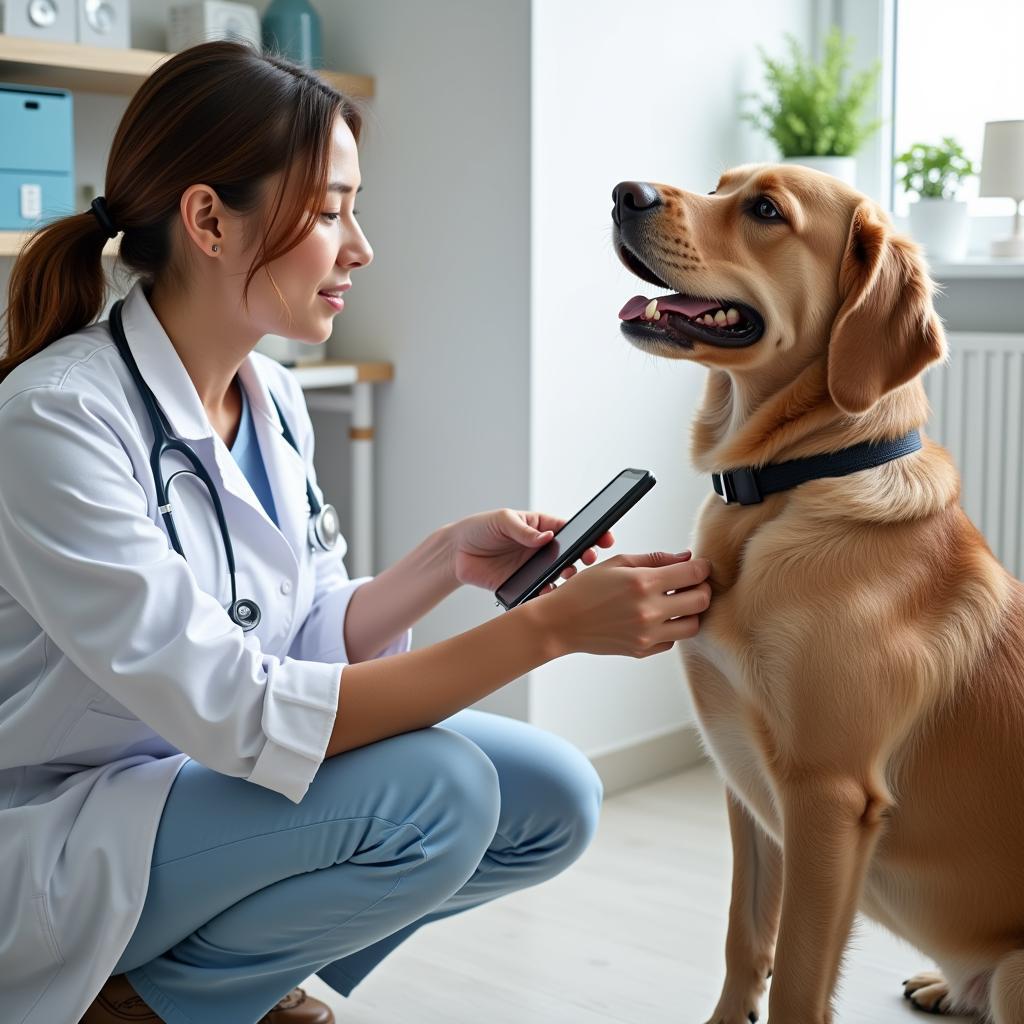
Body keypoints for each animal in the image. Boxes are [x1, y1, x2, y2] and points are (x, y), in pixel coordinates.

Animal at [610, 163, 1024, 1019]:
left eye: (767, 210)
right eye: (720, 185)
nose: (623, 193)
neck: (786, 485)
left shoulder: (827, 799)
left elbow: (799, 979)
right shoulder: (746, 784)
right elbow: (745, 943)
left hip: (1018, 969)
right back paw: (943, 984)